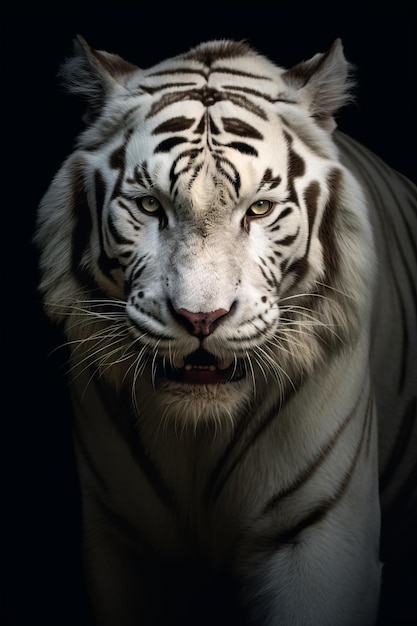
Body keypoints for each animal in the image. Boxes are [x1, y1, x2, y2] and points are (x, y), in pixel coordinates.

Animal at [34, 36, 414, 620]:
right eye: (150, 205)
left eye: (258, 209)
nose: (201, 318)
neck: (197, 437)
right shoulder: (121, 540)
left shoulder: (315, 532)